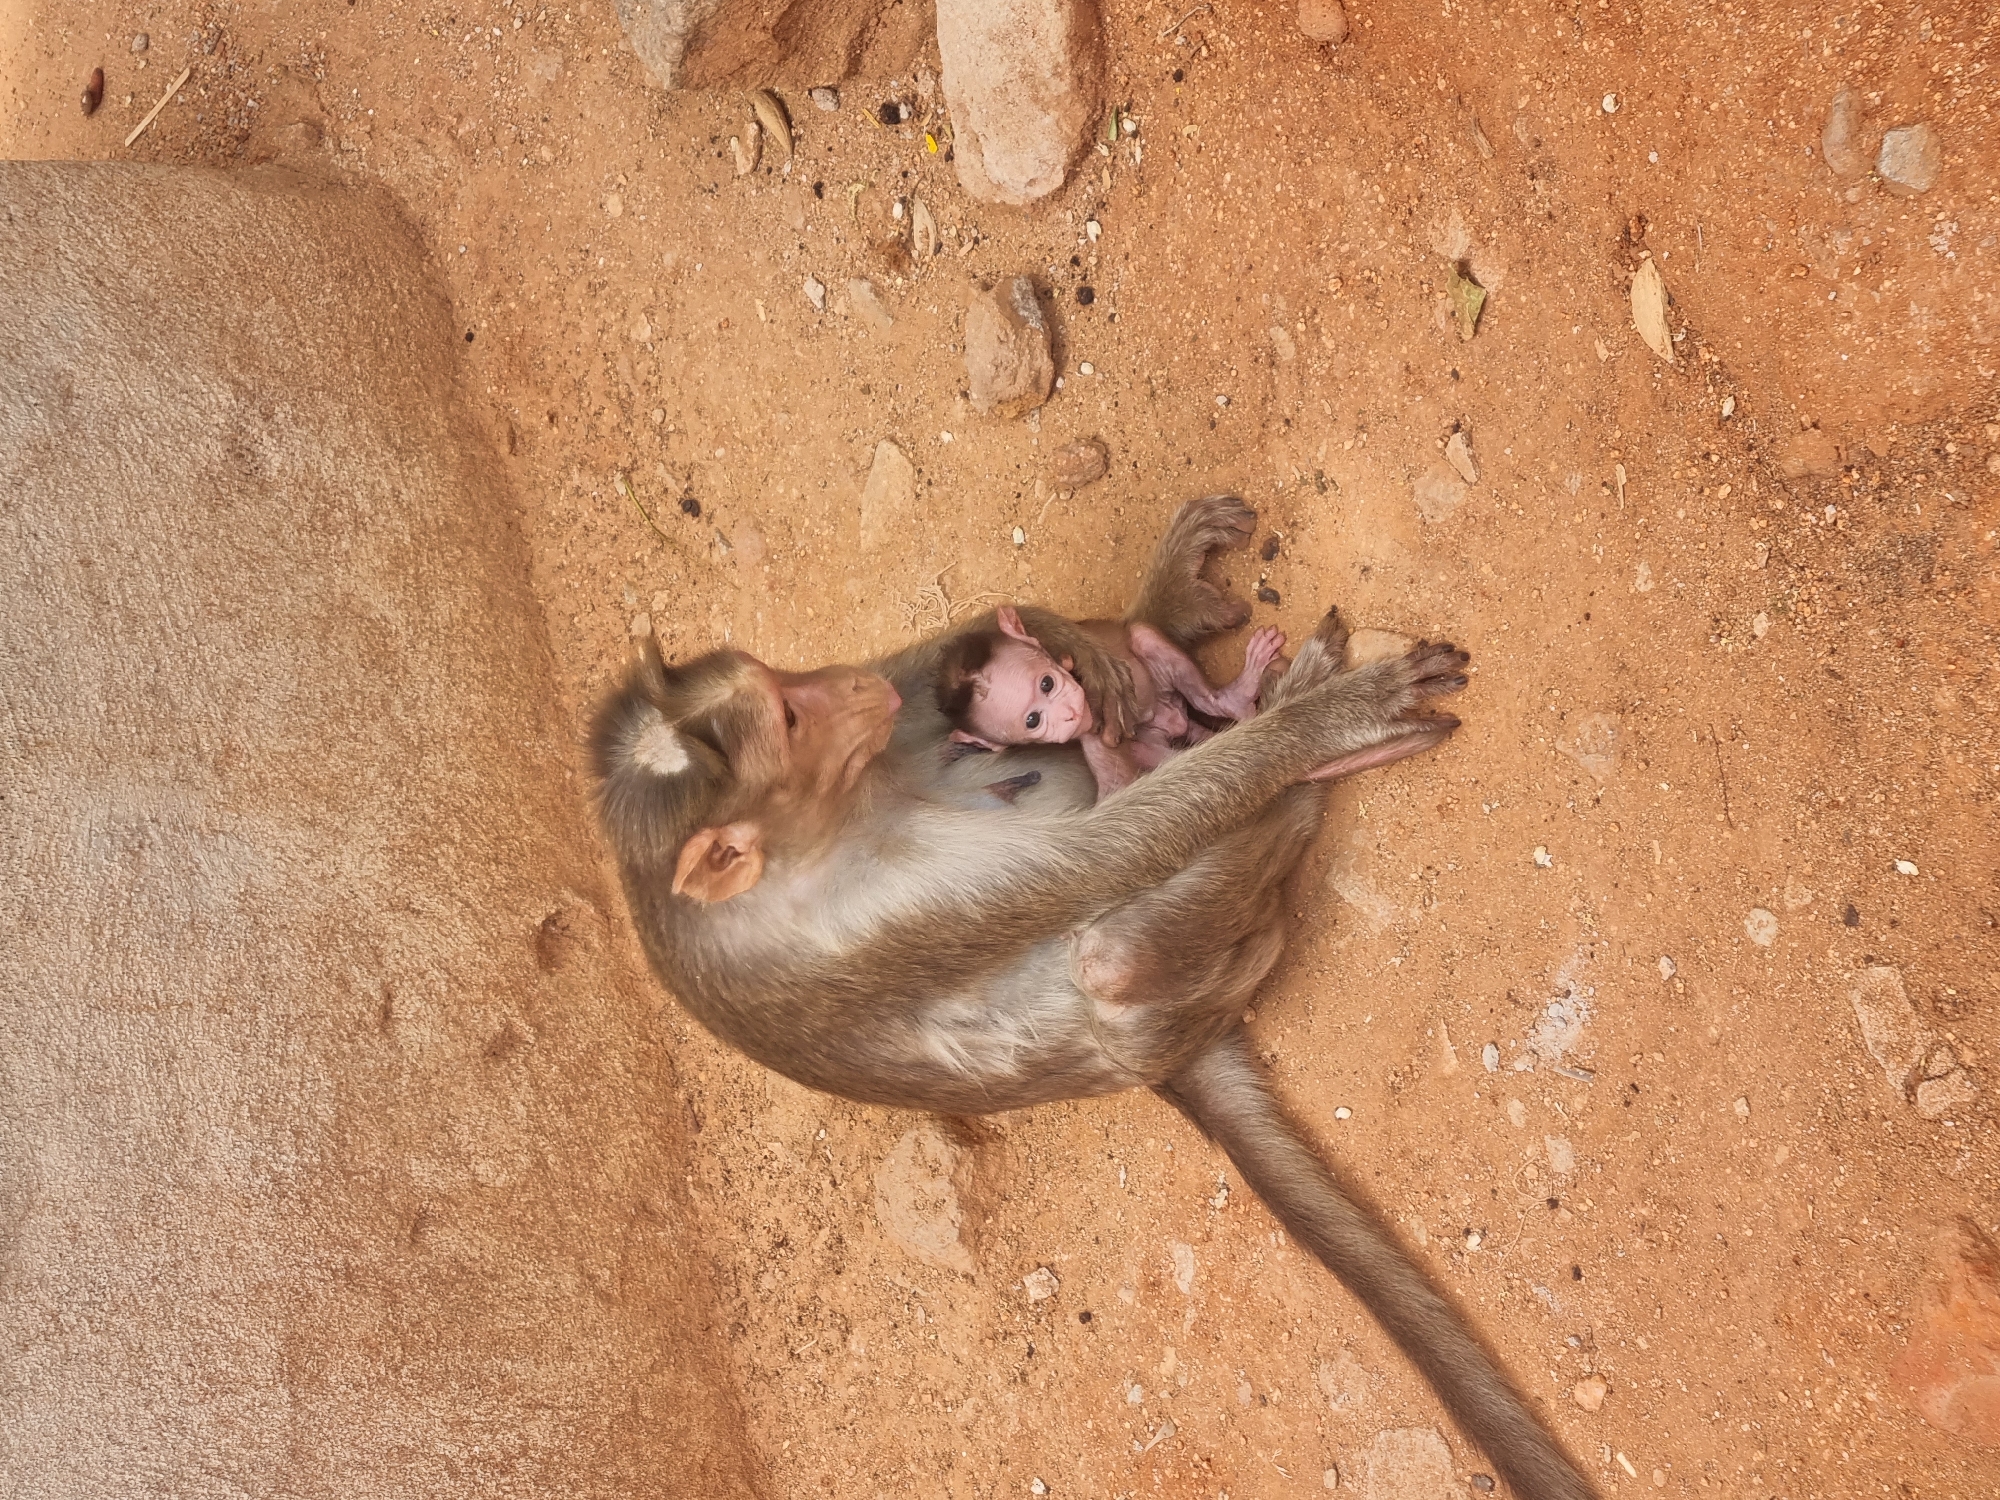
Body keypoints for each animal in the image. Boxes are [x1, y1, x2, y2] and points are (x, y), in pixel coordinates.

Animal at [933, 602, 1287, 797]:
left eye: (1047, 683)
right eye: (1033, 720)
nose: (1069, 713)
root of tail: (1176, 721)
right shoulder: (1095, 736)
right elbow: (1118, 784)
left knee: (1144, 637)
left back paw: (1232, 699)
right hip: (1151, 740)